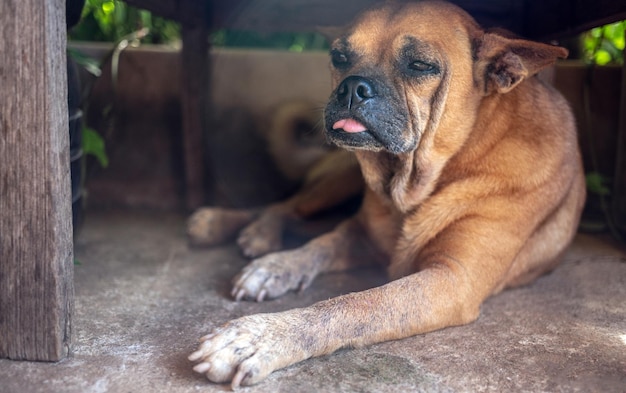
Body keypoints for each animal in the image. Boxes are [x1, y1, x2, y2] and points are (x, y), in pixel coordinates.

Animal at [188, 0, 584, 386]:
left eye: (420, 65)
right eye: (339, 57)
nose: (351, 88)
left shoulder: (452, 279)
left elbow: (351, 305)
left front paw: (260, 337)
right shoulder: (360, 232)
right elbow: (318, 248)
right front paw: (278, 268)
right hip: (339, 180)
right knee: (285, 206)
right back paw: (237, 227)